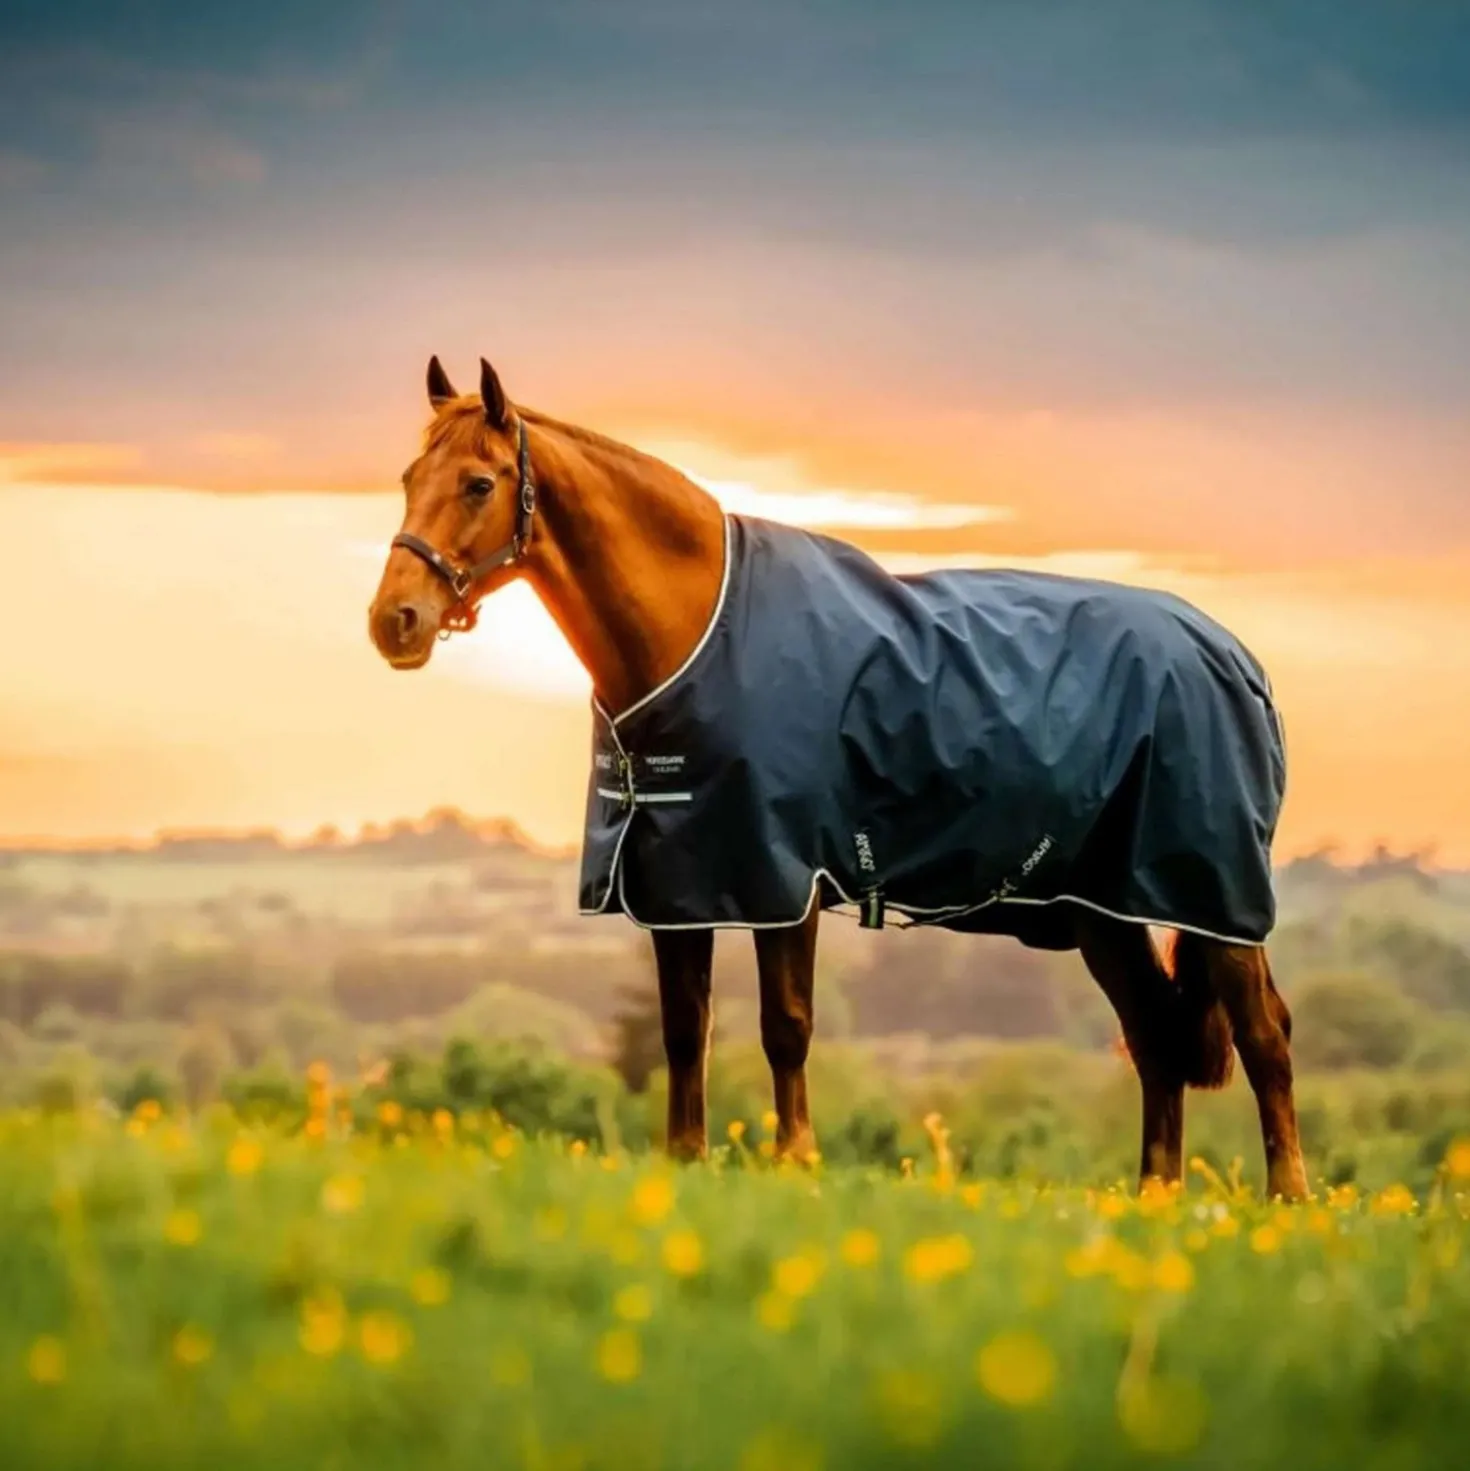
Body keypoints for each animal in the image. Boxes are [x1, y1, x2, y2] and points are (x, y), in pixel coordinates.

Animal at [368, 355, 1309, 1201]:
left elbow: (786, 1026)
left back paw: (1288, 1200)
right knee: (1155, 1036)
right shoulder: (679, 882)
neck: (698, 632)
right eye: (410, 476)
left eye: (479, 483)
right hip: (1101, 909)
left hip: (1217, 898)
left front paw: (797, 1162)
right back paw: (1157, 1198)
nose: (393, 621)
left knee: (1264, 1035)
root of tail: (1237, 659)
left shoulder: (783, 877)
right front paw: (686, 1160)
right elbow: (684, 1030)